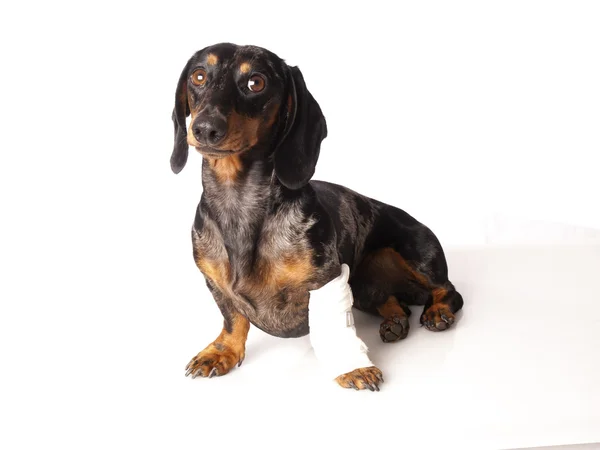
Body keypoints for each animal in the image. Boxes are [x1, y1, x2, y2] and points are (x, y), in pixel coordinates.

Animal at [170, 43, 464, 390]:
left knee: (450, 291)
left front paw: (354, 368)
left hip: (417, 253)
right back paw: (394, 320)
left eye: (256, 82)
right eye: (199, 76)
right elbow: (233, 319)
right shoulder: (215, 283)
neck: (239, 203)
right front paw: (221, 351)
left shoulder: (326, 280)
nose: (205, 128)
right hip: (363, 286)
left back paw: (438, 312)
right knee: (394, 302)